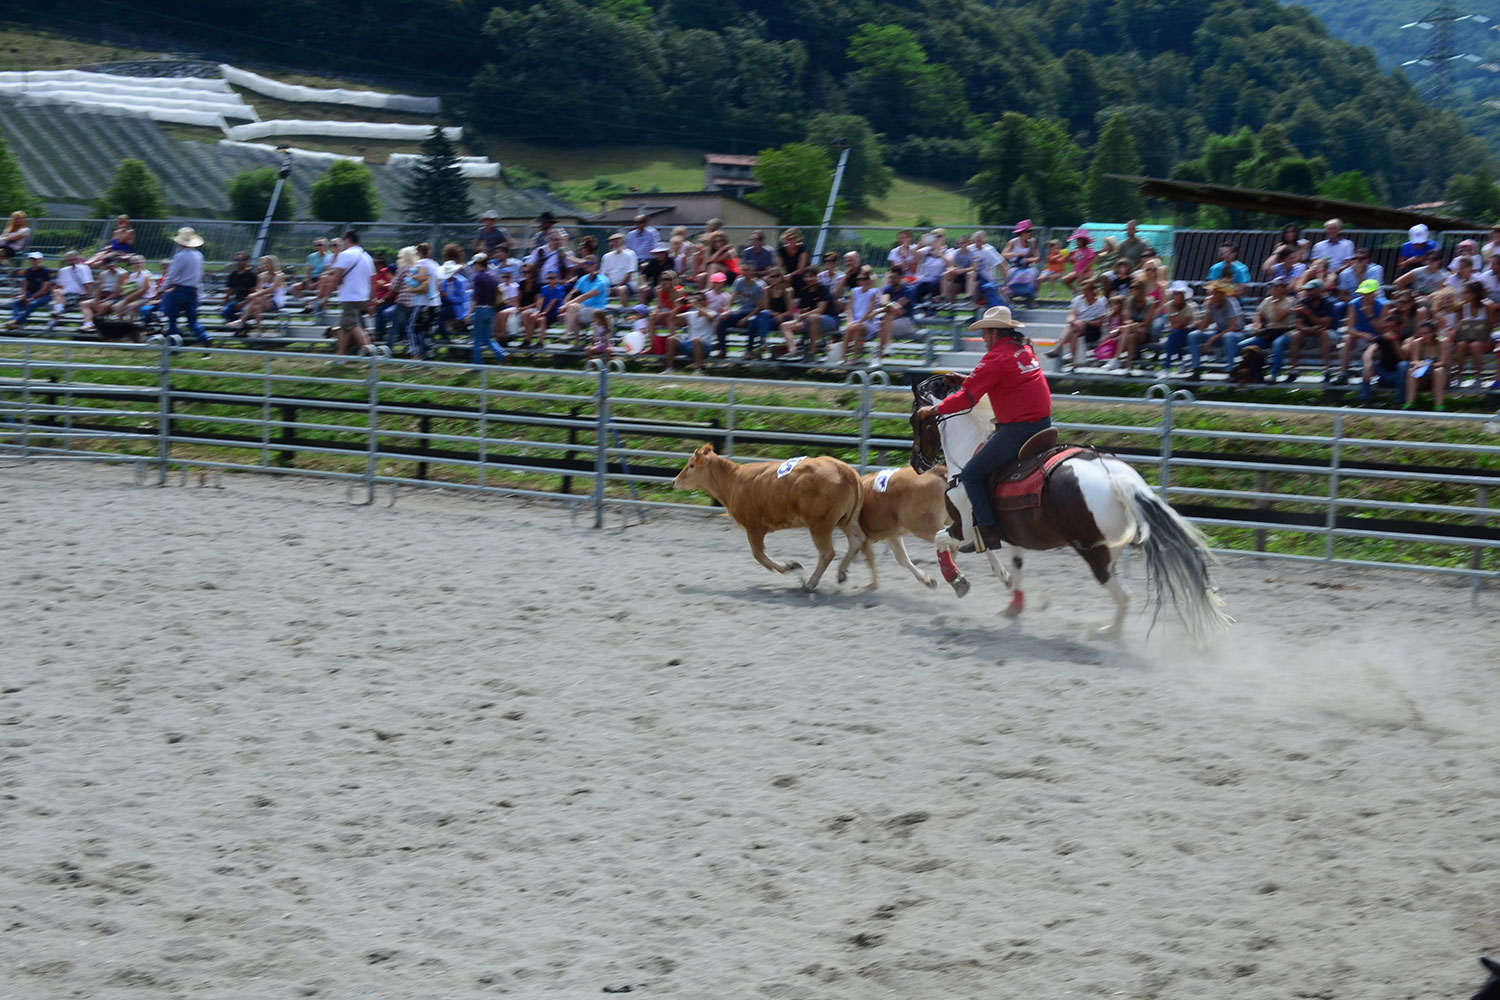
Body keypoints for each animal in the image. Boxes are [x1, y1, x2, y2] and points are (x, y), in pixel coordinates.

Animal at [672, 440, 870, 590]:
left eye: (691, 465)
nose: (674, 481)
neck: (733, 481)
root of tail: (845, 470)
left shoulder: (754, 528)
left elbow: (759, 555)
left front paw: (790, 566)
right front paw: (790, 566)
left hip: (820, 524)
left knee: (828, 552)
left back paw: (810, 583)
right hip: (847, 520)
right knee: (857, 540)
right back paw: (841, 573)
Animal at [900, 371, 1230, 644]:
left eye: (914, 419)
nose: (916, 462)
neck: (970, 451)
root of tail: (1120, 481)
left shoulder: (964, 527)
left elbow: (941, 542)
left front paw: (957, 581)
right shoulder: (1002, 533)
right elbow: (1012, 565)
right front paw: (1012, 602)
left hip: (1094, 554)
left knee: (1124, 596)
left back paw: (1108, 634)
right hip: (1110, 551)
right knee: (1123, 594)